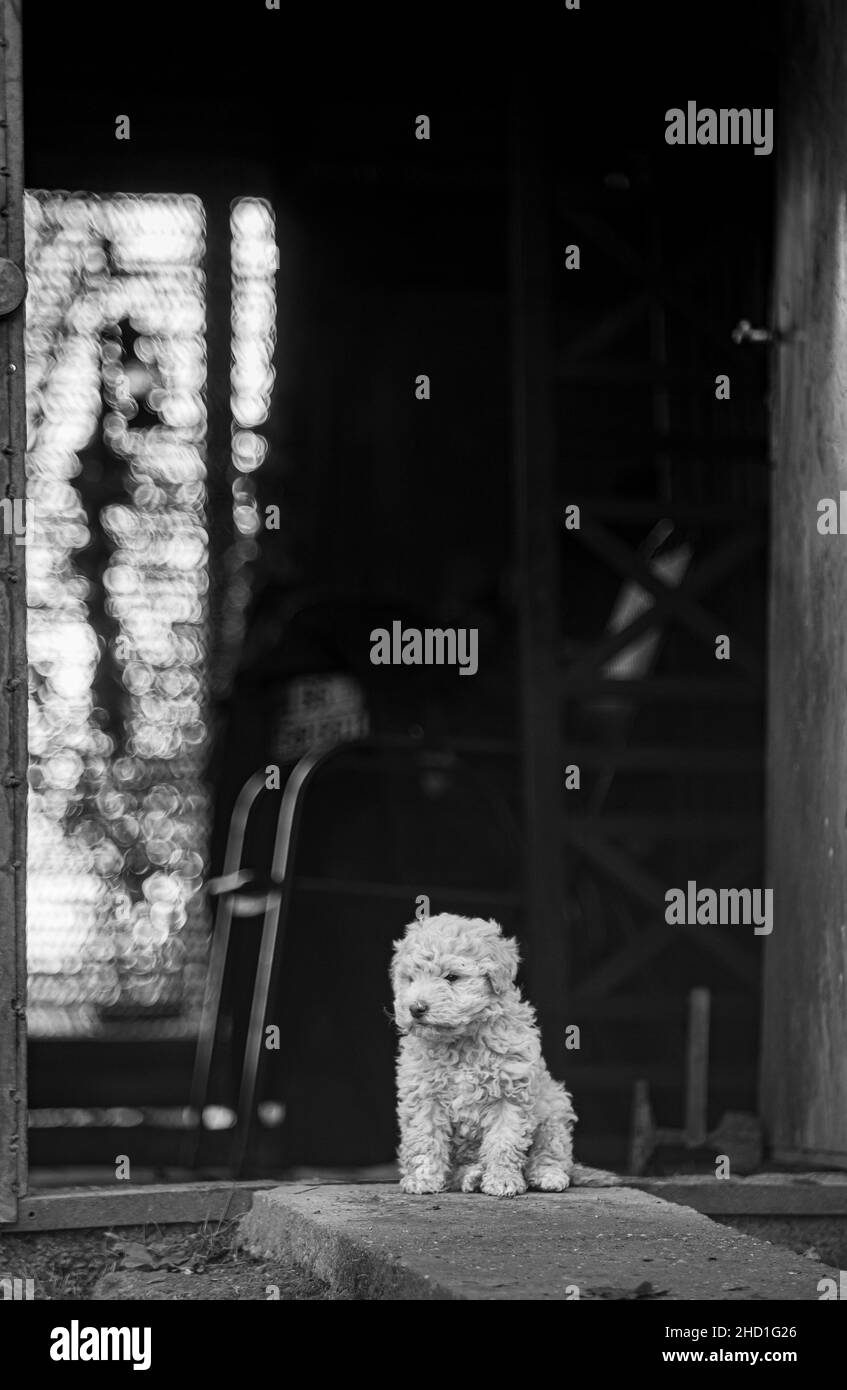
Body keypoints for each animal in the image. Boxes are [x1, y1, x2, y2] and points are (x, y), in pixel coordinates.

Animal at [389, 911, 575, 1195]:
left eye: (452, 977)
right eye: (410, 979)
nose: (416, 1008)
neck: (460, 1042)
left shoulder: (510, 1094)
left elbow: (504, 1141)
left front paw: (502, 1179)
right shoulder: (423, 1095)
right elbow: (424, 1138)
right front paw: (423, 1178)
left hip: (554, 1107)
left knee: (552, 1148)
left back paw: (548, 1174)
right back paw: (471, 1175)